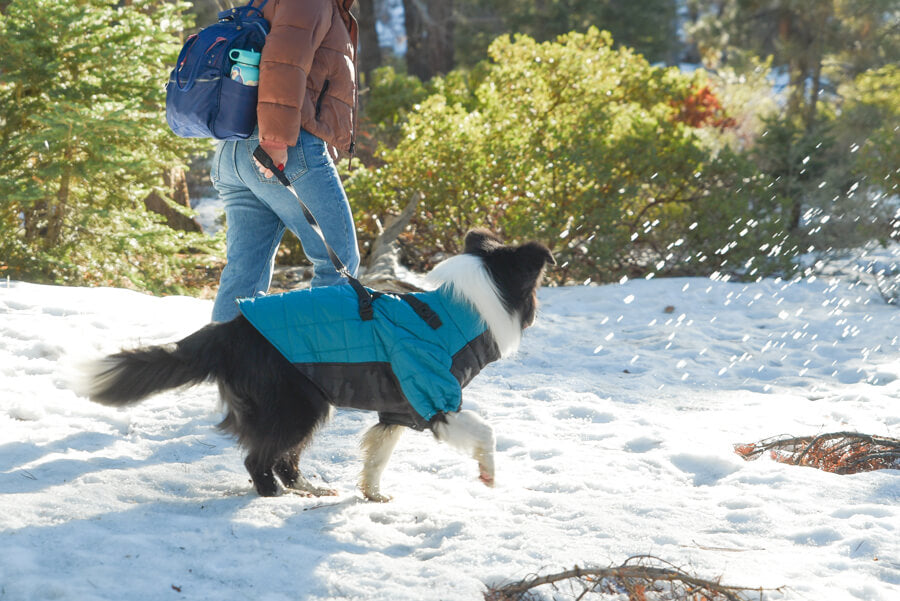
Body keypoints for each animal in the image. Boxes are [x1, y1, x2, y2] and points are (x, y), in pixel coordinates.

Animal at [79, 227, 556, 500]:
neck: (455, 315)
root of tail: (230, 329)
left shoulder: (398, 410)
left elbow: (377, 456)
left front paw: (372, 495)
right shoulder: (432, 396)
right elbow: (486, 432)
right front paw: (488, 474)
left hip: (304, 402)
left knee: (283, 459)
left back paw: (309, 489)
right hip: (297, 404)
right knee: (259, 459)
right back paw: (274, 496)